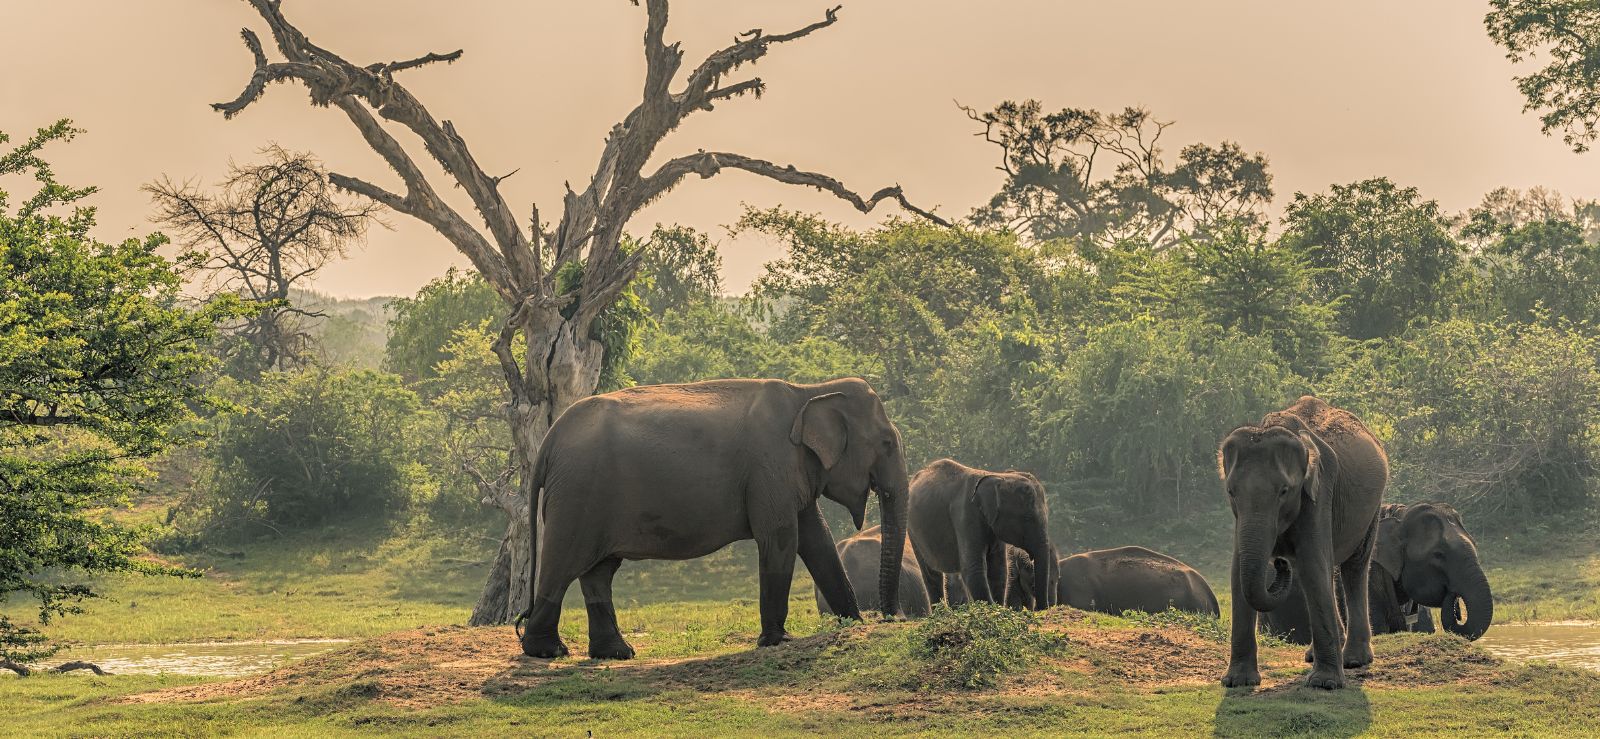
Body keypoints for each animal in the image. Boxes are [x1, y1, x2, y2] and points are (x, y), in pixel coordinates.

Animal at [518, 377, 910, 660]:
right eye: (887, 443)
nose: (894, 618)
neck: (810, 391)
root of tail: (549, 440)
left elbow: (818, 539)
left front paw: (853, 624)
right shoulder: (771, 467)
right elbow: (781, 537)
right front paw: (778, 640)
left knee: (599, 572)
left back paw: (616, 653)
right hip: (577, 495)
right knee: (564, 563)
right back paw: (548, 651)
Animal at [908, 459, 1056, 610]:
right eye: (1027, 518)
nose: (1040, 609)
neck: (998, 477)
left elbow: (998, 569)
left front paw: (997, 608)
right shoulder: (966, 515)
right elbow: (973, 567)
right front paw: (991, 609)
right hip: (912, 531)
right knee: (931, 573)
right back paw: (942, 612)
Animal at [1217, 396, 1388, 690]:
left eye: (1284, 491)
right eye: (1231, 491)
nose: (1280, 562)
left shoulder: (1320, 491)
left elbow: (1312, 564)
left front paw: (1324, 684)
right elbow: (1238, 570)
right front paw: (1237, 682)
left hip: (1372, 508)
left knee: (1354, 567)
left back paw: (1354, 660)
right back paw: (1315, 655)